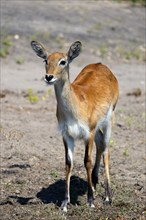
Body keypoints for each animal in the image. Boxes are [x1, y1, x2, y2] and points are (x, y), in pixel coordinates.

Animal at [30, 40, 118, 212]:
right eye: (45, 60)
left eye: (63, 61)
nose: (49, 77)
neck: (75, 106)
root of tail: (101, 64)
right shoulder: (67, 134)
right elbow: (68, 163)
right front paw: (65, 204)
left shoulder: (88, 133)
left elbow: (87, 161)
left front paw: (90, 201)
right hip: (98, 129)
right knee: (100, 145)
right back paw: (95, 184)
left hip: (109, 121)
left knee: (106, 150)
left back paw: (107, 197)